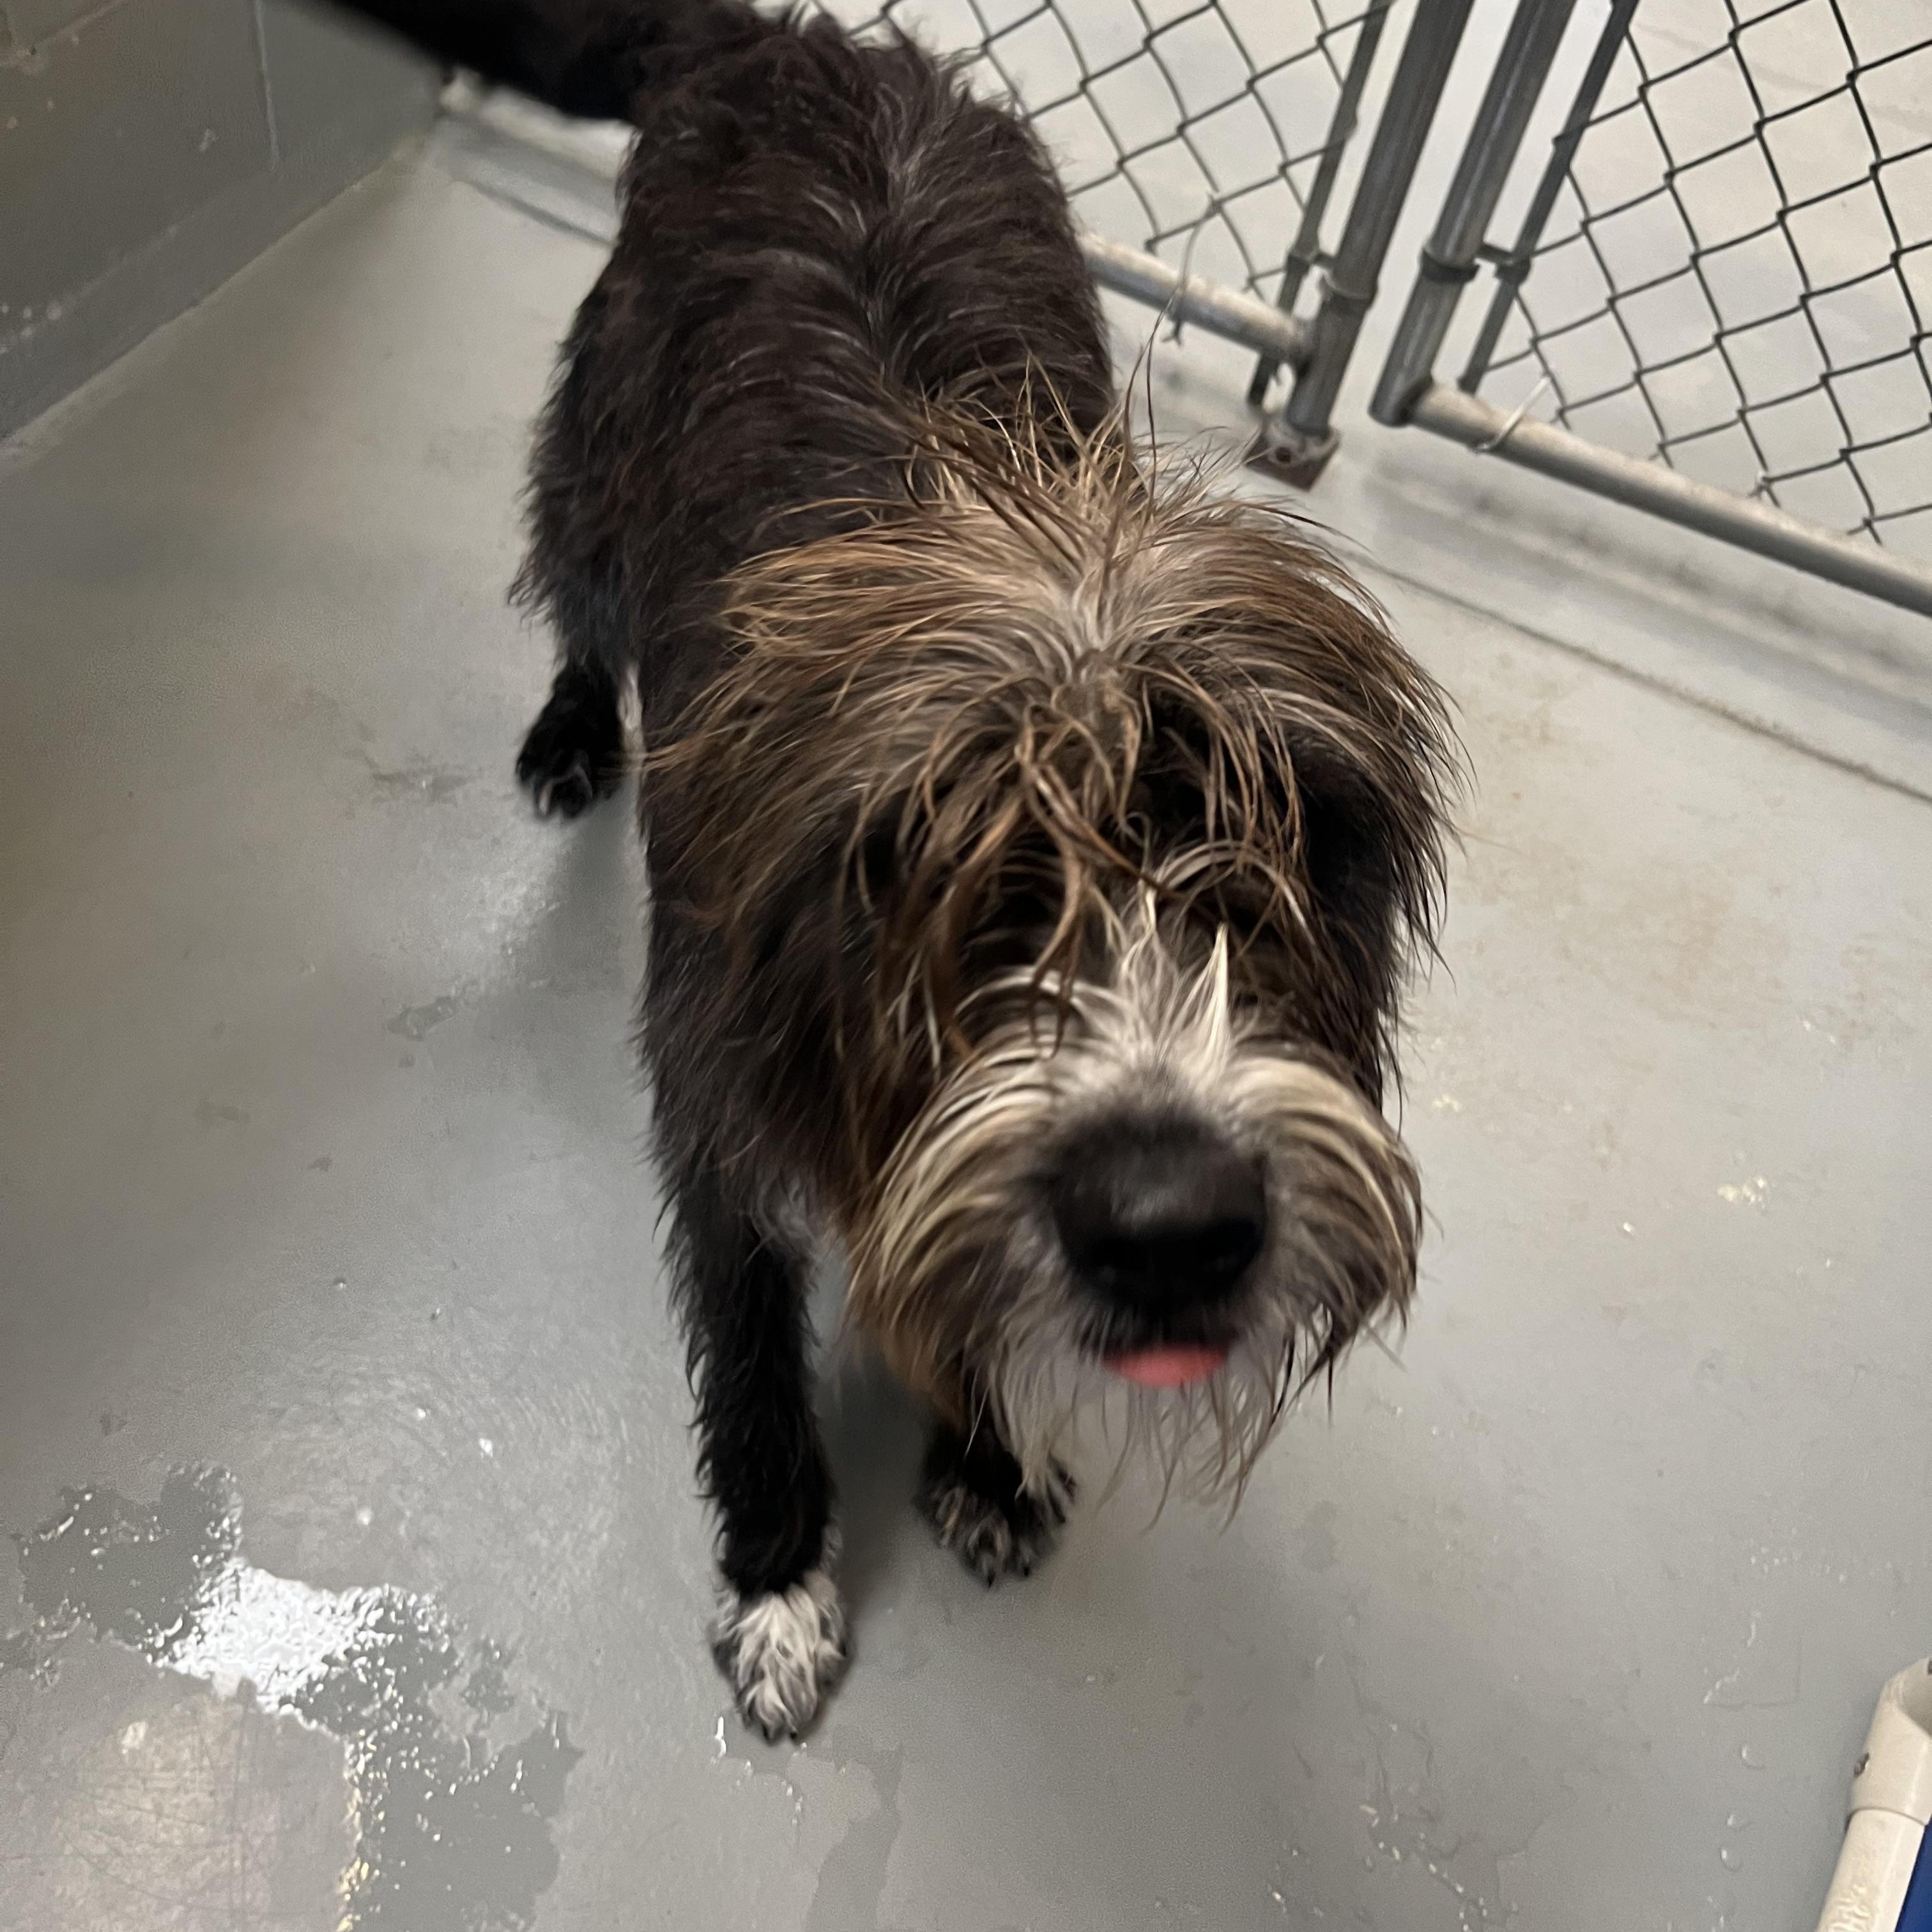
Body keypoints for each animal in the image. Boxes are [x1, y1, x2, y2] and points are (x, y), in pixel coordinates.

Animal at [326, 0, 1458, 1740]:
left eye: (1273, 854)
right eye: (944, 866)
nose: (1173, 1230)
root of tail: (801, 46)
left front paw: (986, 1460)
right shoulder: (722, 1113)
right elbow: (751, 1361)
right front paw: (782, 1582)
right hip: (593, 452)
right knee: (576, 584)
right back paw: (574, 728)